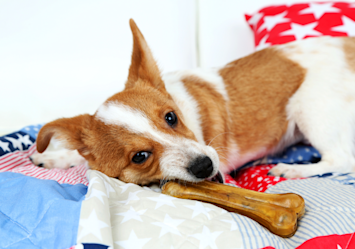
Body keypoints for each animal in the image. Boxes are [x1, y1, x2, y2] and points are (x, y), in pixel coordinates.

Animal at [31, 20, 355, 185]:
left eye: (171, 117)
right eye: (139, 156)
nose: (205, 165)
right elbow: (81, 157)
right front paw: (56, 157)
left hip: (309, 108)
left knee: (341, 159)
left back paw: (293, 169)